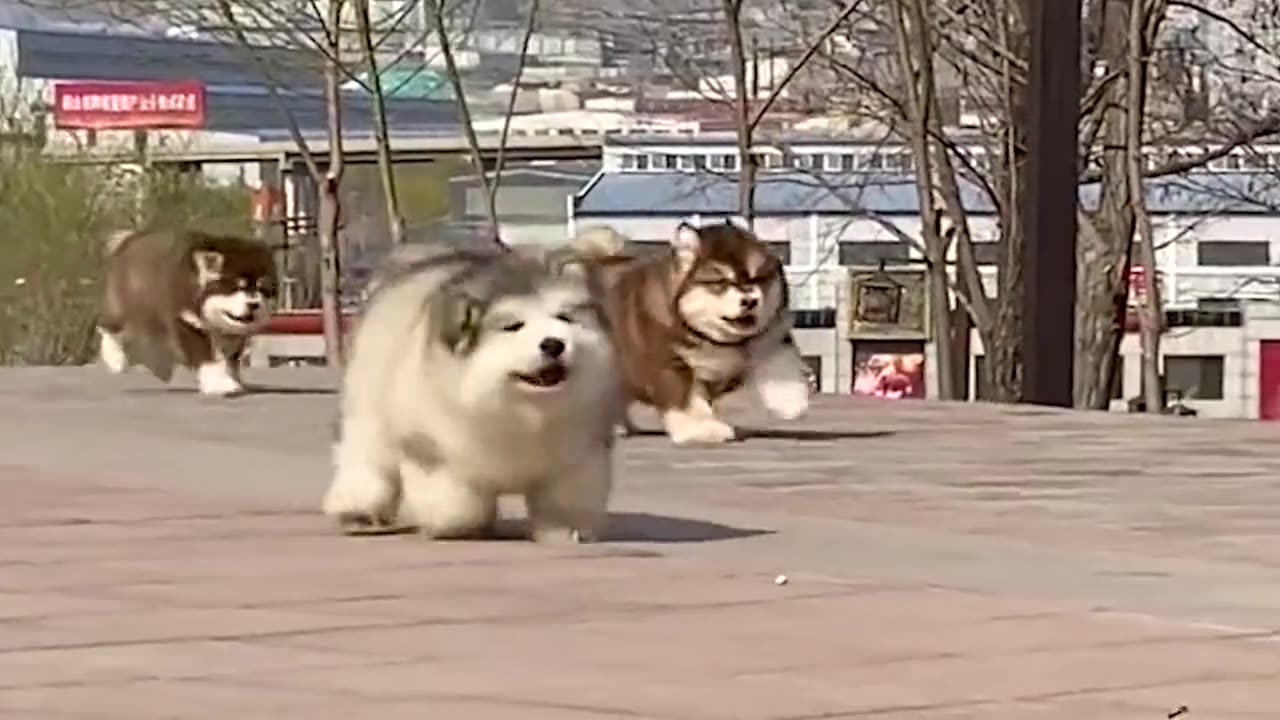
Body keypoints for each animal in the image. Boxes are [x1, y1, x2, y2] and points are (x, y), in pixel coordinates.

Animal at [97, 226, 280, 394]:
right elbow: (206, 356)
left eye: (262, 289)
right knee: (108, 328)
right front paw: (219, 384)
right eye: (237, 287)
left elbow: (230, 359)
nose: (254, 304)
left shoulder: (233, 336)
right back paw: (116, 359)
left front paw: (231, 379)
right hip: (124, 305)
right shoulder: (187, 322)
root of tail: (130, 238)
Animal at [578, 220, 808, 443]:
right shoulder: (671, 365)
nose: (750, 301)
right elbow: (687, 404)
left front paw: (790, 400)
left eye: (757, 278)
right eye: (721, 282)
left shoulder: (770, 340)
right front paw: (701, 429)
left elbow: (780, 366)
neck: (719, 340)